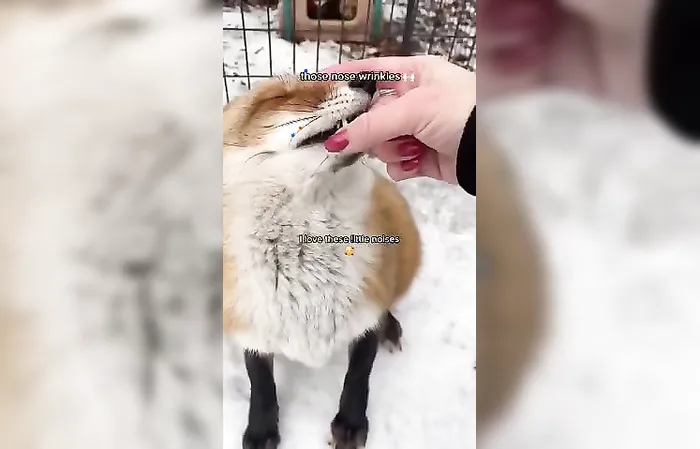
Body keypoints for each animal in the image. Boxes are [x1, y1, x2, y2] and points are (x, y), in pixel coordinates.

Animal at [222, 74, 422, 449]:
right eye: (279, 97)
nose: (367, 79)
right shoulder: (249, 321)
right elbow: (260, 382)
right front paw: (261, 430)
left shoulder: (367, 308)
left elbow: (358, 374)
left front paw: (351, 423)